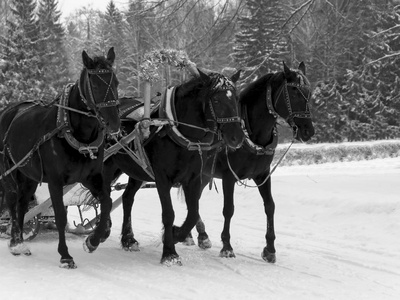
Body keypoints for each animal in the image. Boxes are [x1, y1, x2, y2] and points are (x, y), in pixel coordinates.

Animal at [0, 48, 119, 268]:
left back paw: (20, 242)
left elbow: (106, 203)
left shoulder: (92, 177)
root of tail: (8, 111)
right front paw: (65, 255)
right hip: (8, 171)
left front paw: (93, 241)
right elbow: (61, 217)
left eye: (115, 82)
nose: (114, 123)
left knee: (22, 204)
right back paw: (15, 242)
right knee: (12, 201)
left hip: (29, 176)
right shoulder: (55, 181)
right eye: (95, 85)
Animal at [102, 69, 244, 264]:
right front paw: (169, 253)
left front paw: (177, 234)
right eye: (216, 100)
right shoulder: (162, 178)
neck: (177, 131)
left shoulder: (193, 178)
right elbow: (169, 214)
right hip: (107, 165)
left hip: (137, 171)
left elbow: (193, 213)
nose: (236, 137)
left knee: (127, 198)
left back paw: (128, 239)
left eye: (236, 98)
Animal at [194, 61, 316, 262]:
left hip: (204, 175)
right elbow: (228, 209)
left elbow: (270, 206)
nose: (308, 131)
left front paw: (270, 248)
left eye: (309, 92)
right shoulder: (229, 177)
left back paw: (200, 235)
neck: (250, 132)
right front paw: (227, 246)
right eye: (293, 92)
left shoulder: (262, 175)